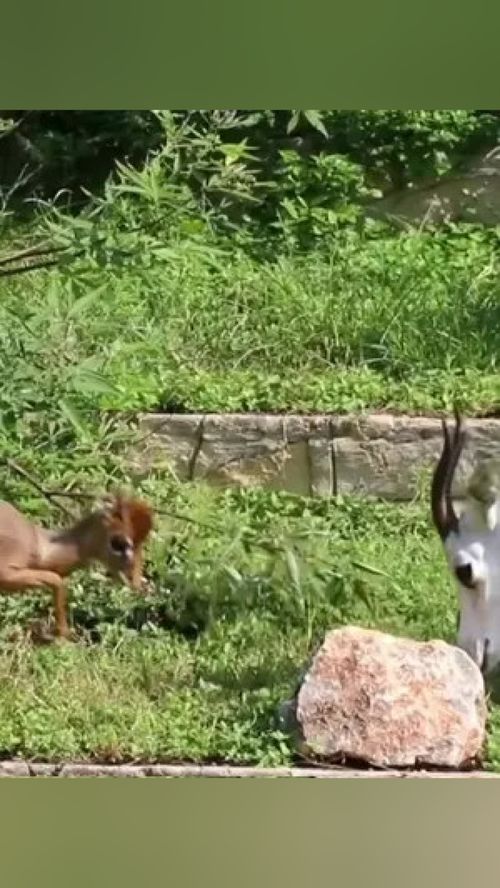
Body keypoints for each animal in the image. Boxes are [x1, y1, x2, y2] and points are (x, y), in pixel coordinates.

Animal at [0, 492, 154, 640]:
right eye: (118, 543)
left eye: (142, 543)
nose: (135, 582)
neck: (41, 547)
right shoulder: (7, 573)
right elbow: (56, 579)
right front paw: (64, 636)